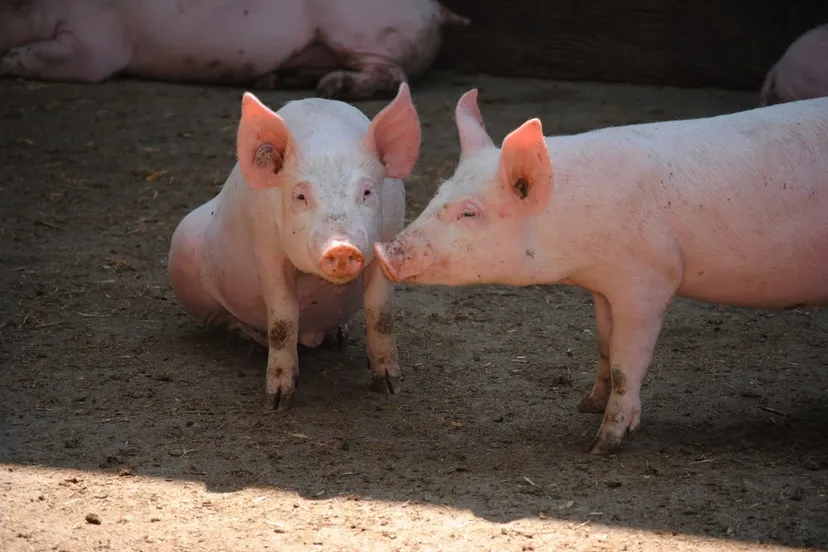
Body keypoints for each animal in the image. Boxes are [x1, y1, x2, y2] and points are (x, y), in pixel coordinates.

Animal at [168, 83, 421, 410]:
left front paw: (390, 386)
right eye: (300, 196)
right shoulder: (266, 248)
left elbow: (380, 313)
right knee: (223, 319)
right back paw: (253, 339)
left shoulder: (389, 233)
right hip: (182, 260)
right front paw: (277, 402)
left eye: (367, 192)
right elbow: (283, 319)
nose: (341, 247)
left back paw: (337, 337)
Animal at [374, 89, 828, 454]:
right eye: (438, 192)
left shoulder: (650, 280)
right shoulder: (603, 289)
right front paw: (585, 404)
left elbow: (627, 364)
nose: (382, 250)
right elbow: (605, 346)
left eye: (469, 212)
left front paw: (601, 446)